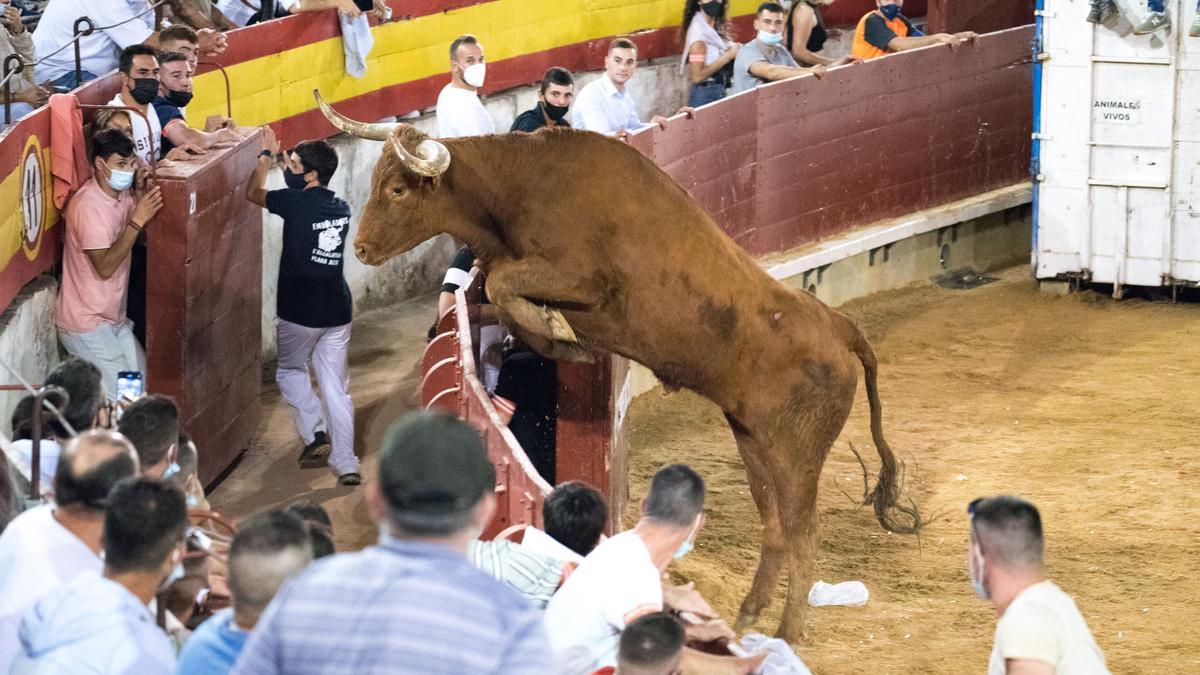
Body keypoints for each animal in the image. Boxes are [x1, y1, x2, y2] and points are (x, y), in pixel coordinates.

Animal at [316, 91, 916, 638]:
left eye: (397, 189)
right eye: (375, 183)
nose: (361, 249)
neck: (518, 189)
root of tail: (837, 326)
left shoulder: (584, 280)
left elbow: (509, 284)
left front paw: (560, 335)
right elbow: (501, 297)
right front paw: (555, 337)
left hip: (798, 452)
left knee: (803, 534)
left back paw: (789, 634)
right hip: (754, 439)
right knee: (774, 527)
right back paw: (749, 614)